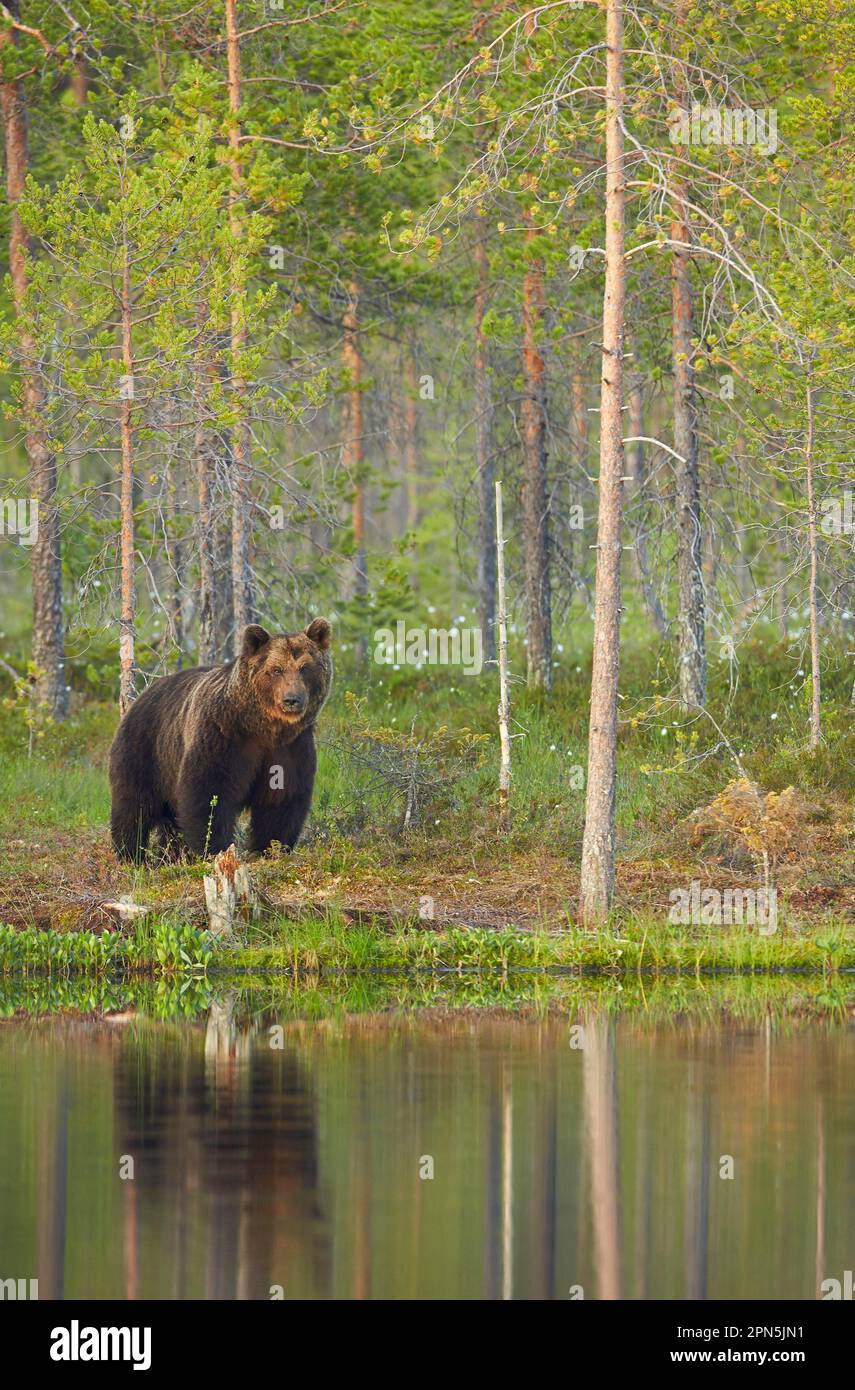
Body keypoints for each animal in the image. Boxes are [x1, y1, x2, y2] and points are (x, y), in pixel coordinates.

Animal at [107, 617, 335, 856]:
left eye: (305, 668)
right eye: (276, 669)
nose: (292, 699)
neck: (261, 727)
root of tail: (143, 695)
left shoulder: (290, 748)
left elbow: (281, 800)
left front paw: (270, 848)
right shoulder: (221, 736)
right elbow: (208, 793)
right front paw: (214, 848)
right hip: (146, 752)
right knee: (133, 808)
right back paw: (131, 855)